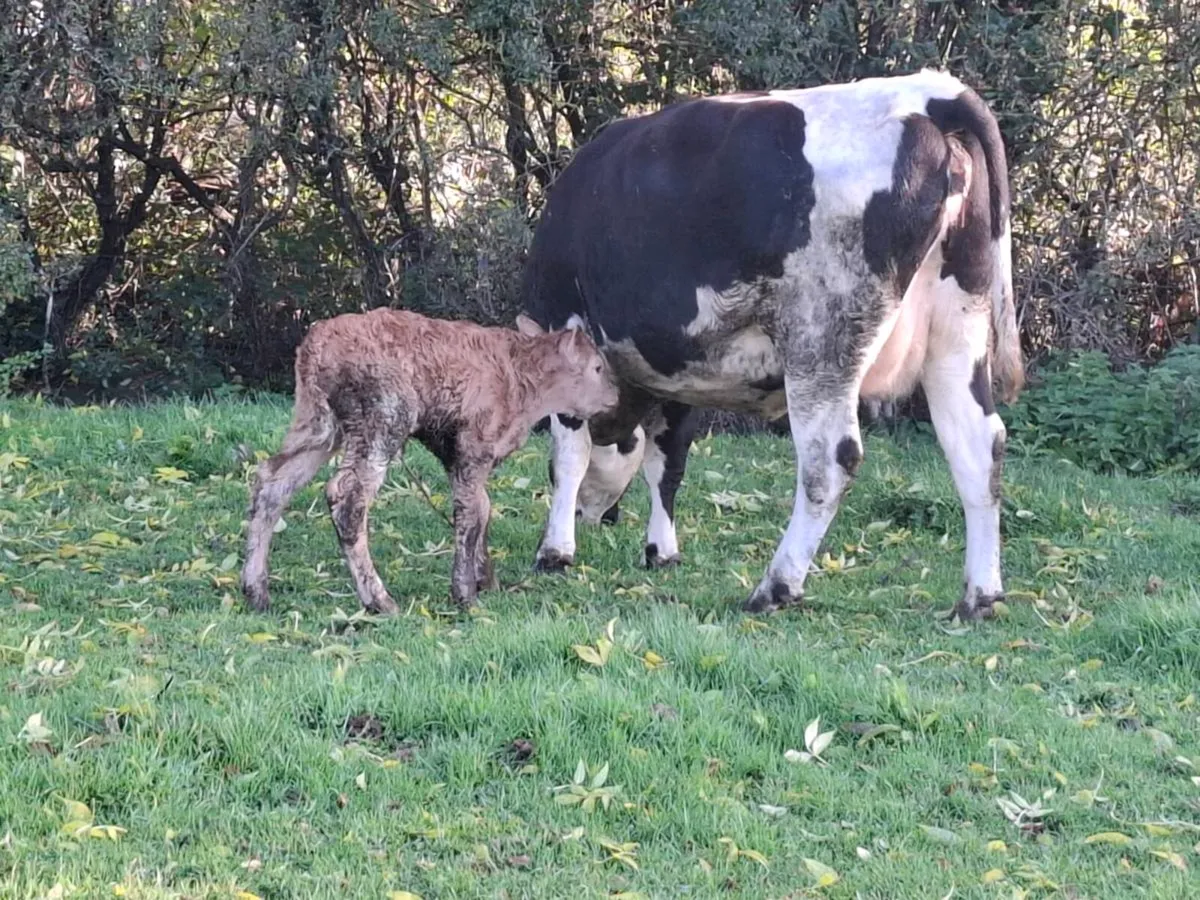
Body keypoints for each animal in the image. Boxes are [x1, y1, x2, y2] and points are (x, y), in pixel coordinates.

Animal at [520, 69, 1024, 621]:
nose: (594, 517)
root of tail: (928, 92)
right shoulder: (681, 375)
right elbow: (667, 464)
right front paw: (661, 551)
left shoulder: (569, 329)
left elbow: (569, 456)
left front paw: (554, 551)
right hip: (956, 330)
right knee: (977, 448)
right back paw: (979, 597)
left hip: (822, 340)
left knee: (831, 461)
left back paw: (776, 586)